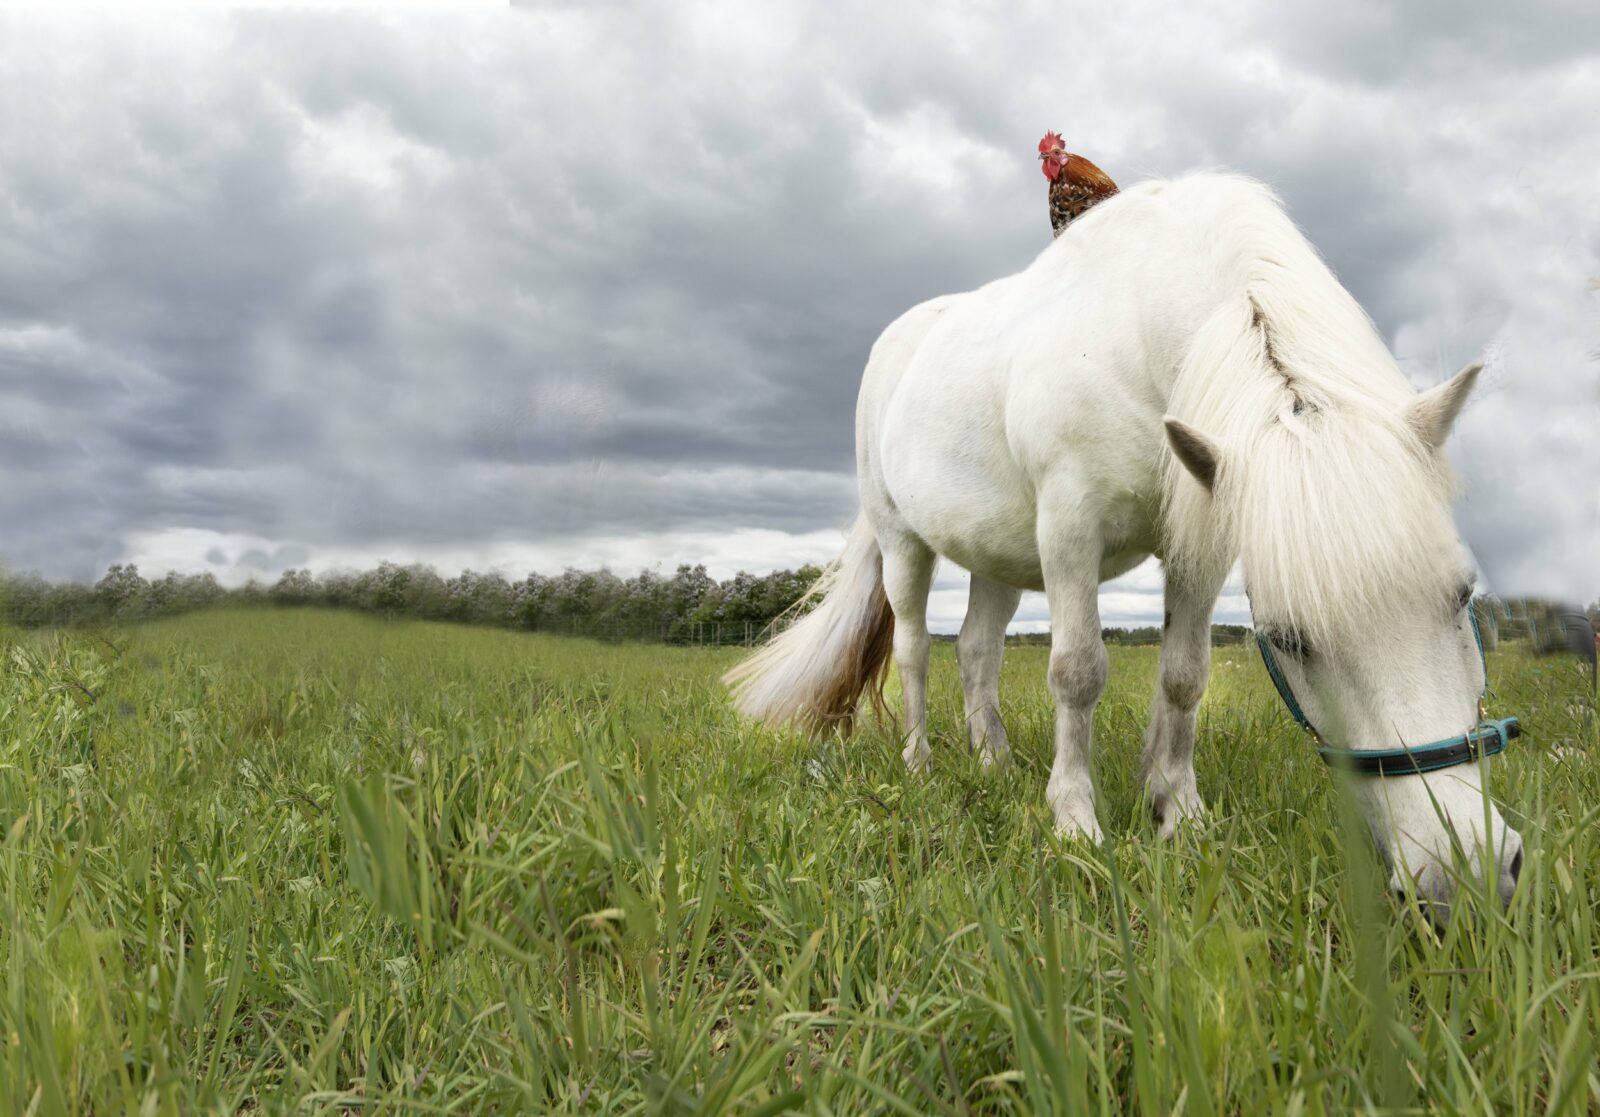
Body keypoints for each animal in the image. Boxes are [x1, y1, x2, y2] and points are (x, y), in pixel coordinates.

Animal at [732, 172, 1516, 902]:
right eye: (1289, 638)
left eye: (1461, 597)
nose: (1464, 873)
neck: (1139, 333)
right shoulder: (1070, 527)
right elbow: (1077, 672)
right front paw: (1075, 819)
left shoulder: (1199, 544)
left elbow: (1183, 675)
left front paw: (1177, 809)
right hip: (904, 544)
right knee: (916, 649)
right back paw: (921, 763)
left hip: (997, 558)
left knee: (978, 649)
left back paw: (994, 764)